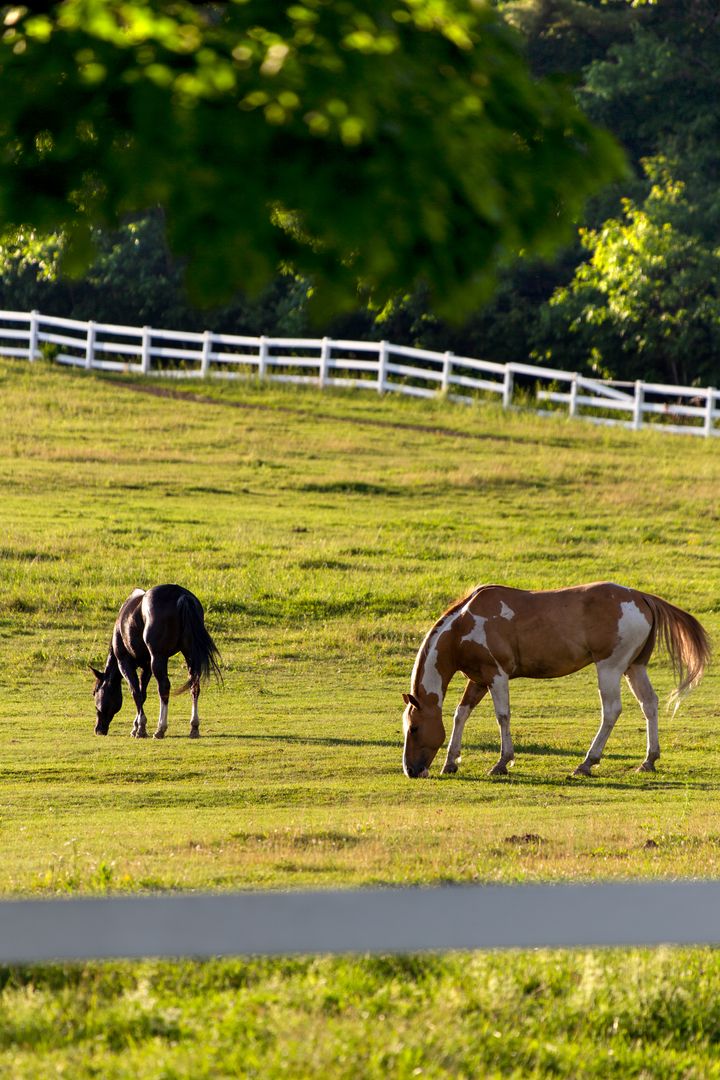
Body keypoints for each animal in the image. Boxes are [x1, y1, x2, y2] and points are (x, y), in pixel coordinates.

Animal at [90, 584, 221, 739]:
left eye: (95, 692)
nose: (98, 729)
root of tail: (182, 596)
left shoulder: (124, 663)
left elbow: (136, 692)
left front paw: (140, 728)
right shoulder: (147, 667)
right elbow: (143, 694)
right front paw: (136, 726)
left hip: (158, 658)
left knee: (164, 687)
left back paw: (160, 728)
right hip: (189, 654)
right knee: (194, 686)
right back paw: (194, 727)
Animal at [402, 581, 710, 779]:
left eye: (414, 728)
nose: (410, 770)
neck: (463, 625)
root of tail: (641, 596)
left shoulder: (497, 675)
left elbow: (502, 716)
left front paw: (502, 762)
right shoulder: (478, 679)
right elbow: (460, 714)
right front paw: (451, 761)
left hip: (609, 668)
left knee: (611, 711)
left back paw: (587, 763)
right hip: (634, 668)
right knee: (649, 704)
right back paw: (648, 760)